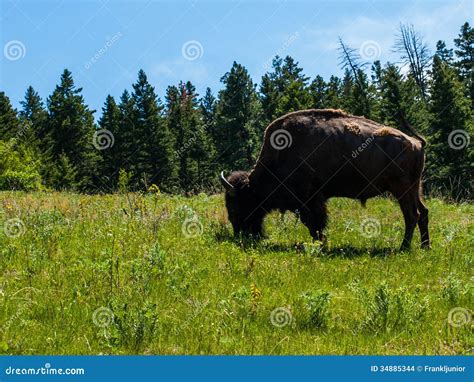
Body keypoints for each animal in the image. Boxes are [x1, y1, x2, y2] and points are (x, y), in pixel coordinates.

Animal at [220, 109, 432, 251]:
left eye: (235, 204)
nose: (240, 235)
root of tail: (416, 142)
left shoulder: (310, 199)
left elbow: (315, 223)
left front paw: (320, 244)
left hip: (402, 189)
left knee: (411, 215)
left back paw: (404, 247)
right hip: (415, 189)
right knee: (423, 212)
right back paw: (425, 247)